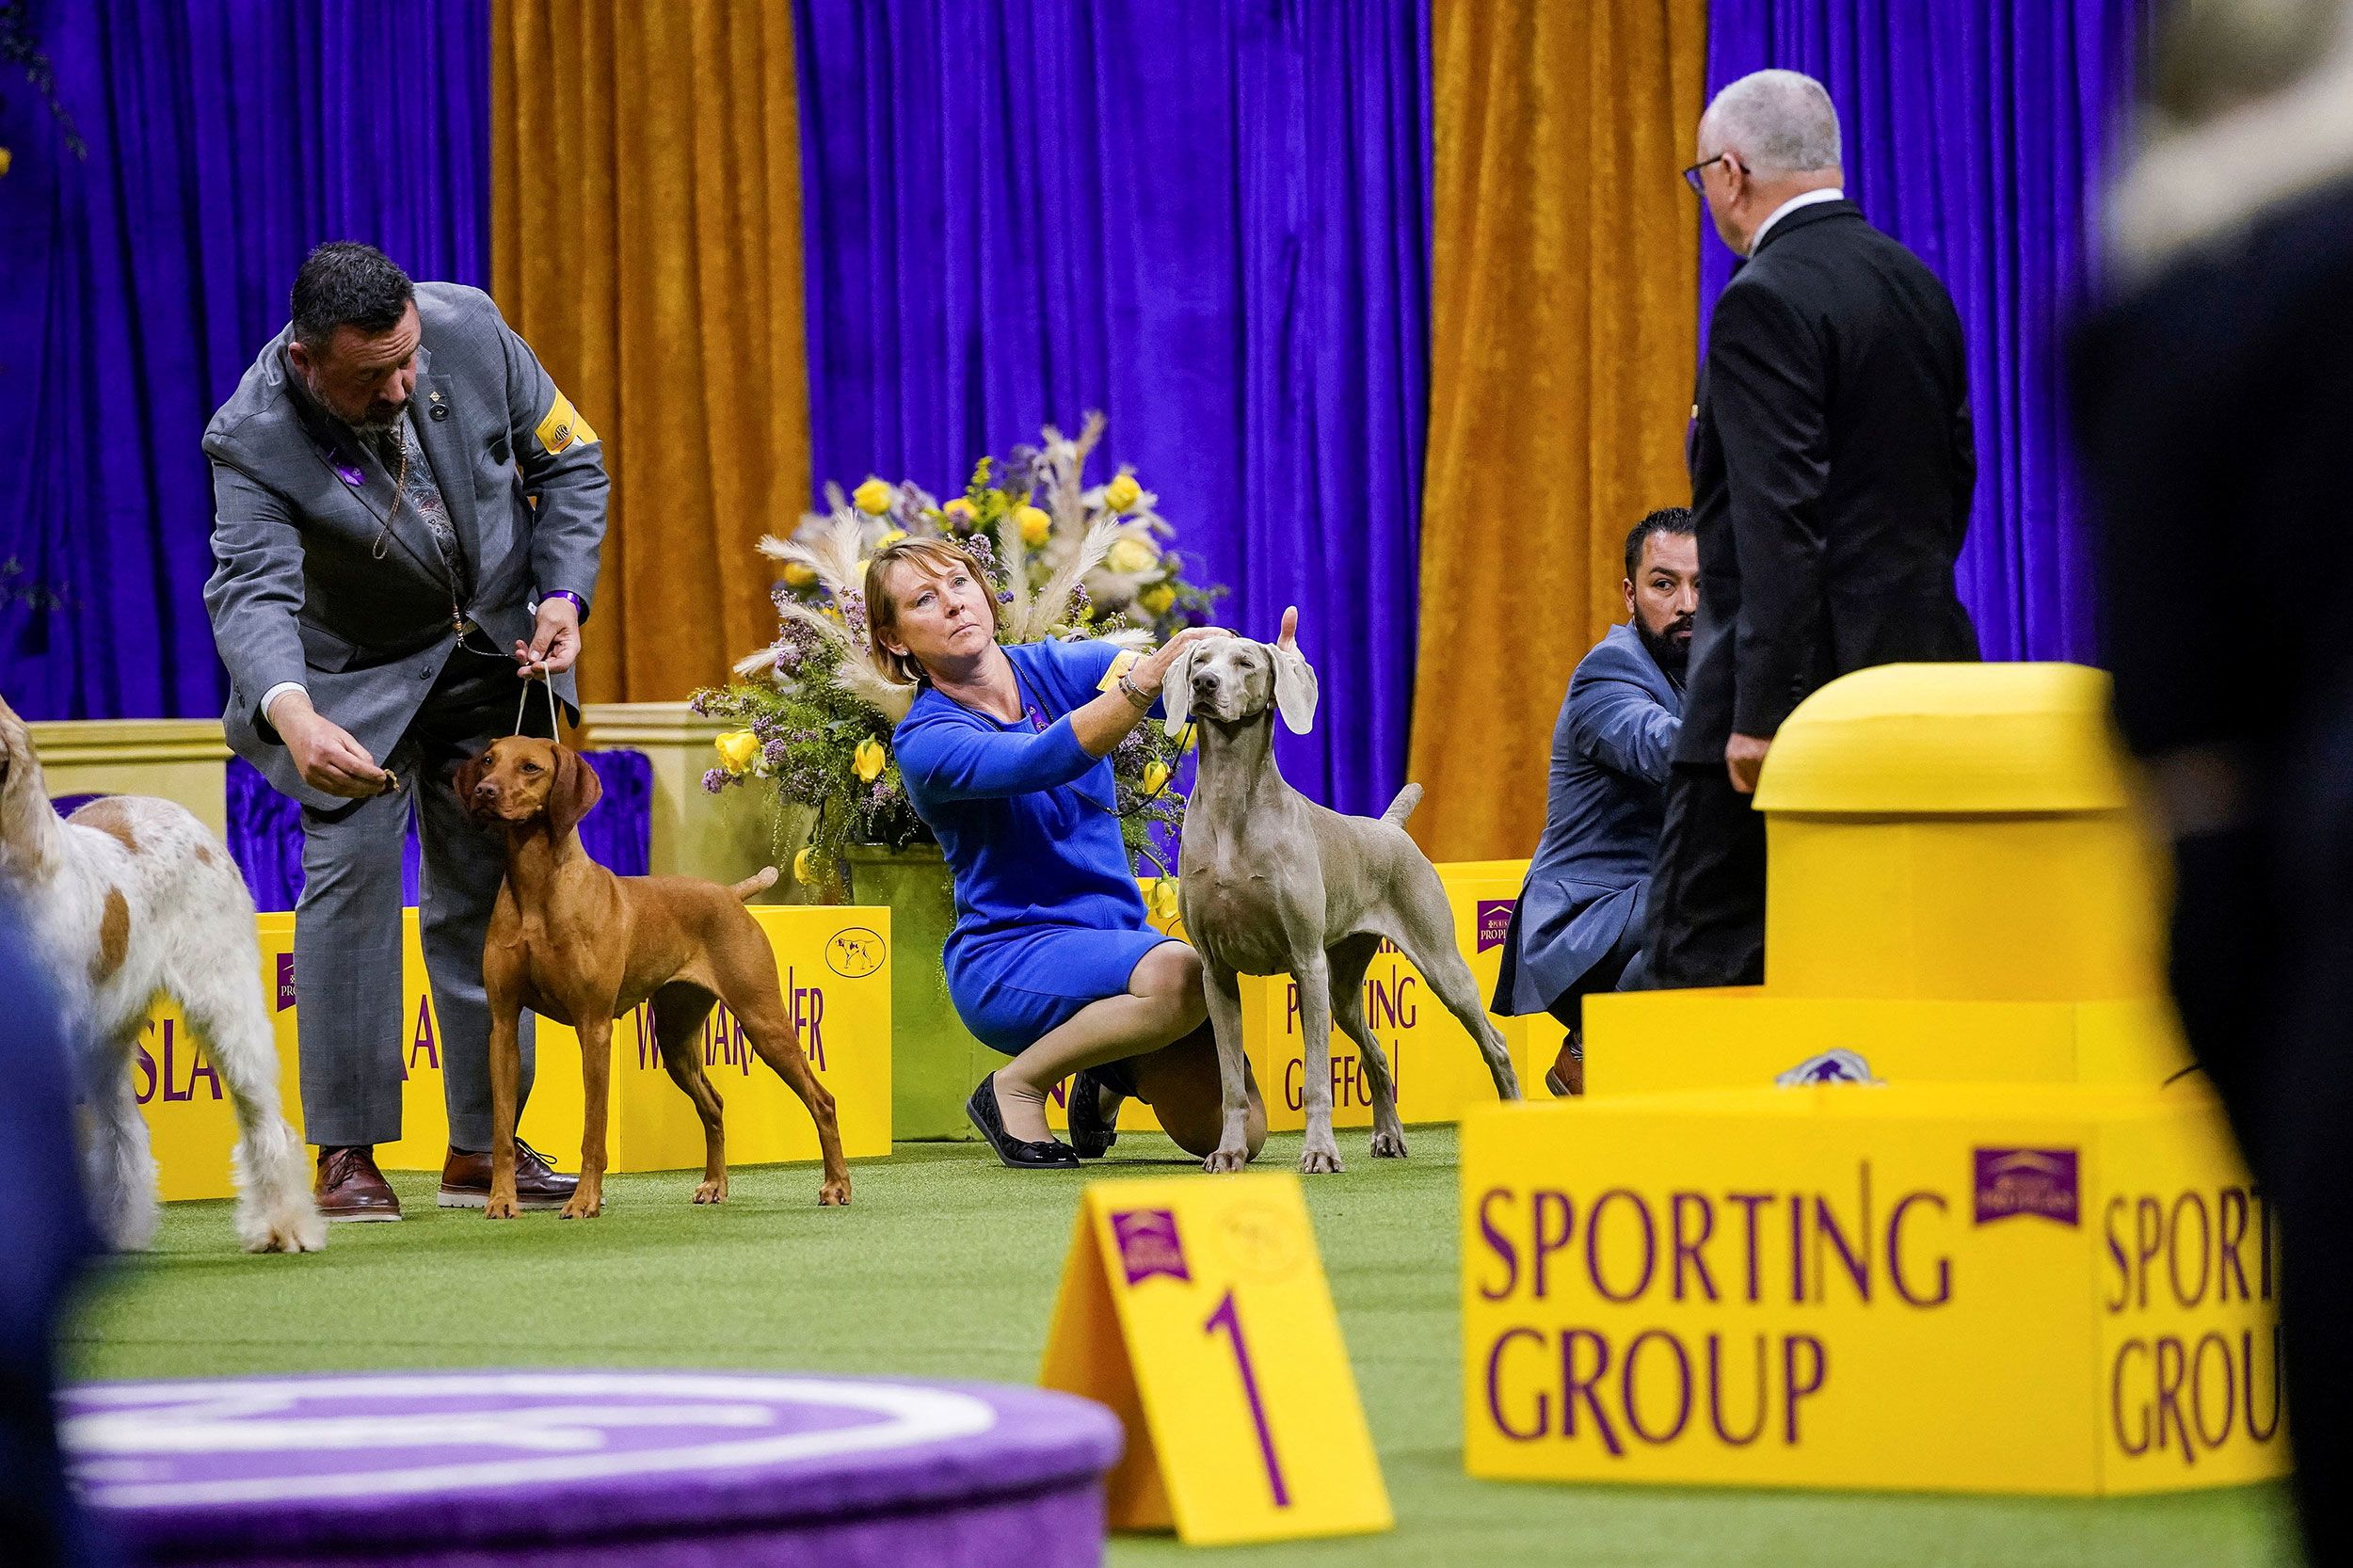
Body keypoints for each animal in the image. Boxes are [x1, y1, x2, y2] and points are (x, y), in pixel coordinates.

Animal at [454, 734, 852, 1224]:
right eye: (488, 761)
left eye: (530, 767)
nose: (485, 791)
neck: (537, 889)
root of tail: (730, 894)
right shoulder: (504, 1027)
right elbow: (501, 1131)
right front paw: (502, 1200)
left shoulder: (594, 1027)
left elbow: (594, 1130)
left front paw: (584, 1202)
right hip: (676, 1039)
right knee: (713, 1104)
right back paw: (714, 1186)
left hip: (764, 1021)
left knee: (822, 1100)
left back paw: (836, 1187)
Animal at [1162, 612, 1525, 1172]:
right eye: (1200, 659)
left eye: (1245, 662)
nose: (1203, 684)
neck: (1230, 802)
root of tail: (1390, 828)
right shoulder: (1216, 971)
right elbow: (1231, 1084)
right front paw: (1228, 1153)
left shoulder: (1306, 959)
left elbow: (1315, 1079)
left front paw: (1319, 1152)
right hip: (1345, 987)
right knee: (1376, 1054)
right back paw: (1389, 1137)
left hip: (1440, 963)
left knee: (1496, 1042)